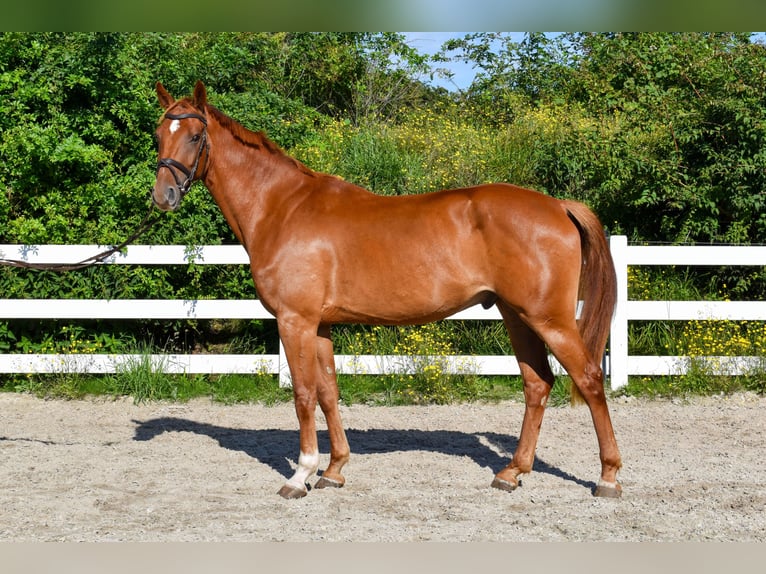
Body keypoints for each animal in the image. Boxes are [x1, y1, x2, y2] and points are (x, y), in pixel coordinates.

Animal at [151, 81, 622, 499]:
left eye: (195, 136)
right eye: (158, 134)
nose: (164, 196)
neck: (282, 208)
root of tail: (558, 205)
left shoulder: (295, 321)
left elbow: (304, 395)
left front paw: (300, 475)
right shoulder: (319, 325)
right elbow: (328, 393)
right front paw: (334, 471)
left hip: (549, 319)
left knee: (589, 378)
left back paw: (608, 477)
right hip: (517, 315)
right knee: (538, 384)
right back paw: (512, 472)